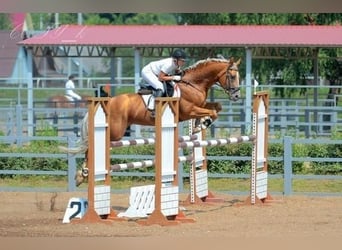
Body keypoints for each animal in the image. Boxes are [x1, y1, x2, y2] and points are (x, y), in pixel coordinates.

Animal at [60, 56, 240, 186]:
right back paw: (82, 174)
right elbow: (212, 112)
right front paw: (202, 123)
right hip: (115, 131)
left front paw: (199, 125)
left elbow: (216, 107)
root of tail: (108, 101)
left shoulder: (199, 106)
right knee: (91, 146)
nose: (237, 95)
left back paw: (82, 174)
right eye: (232, 76)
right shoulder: (189, 110)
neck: (193, 84)